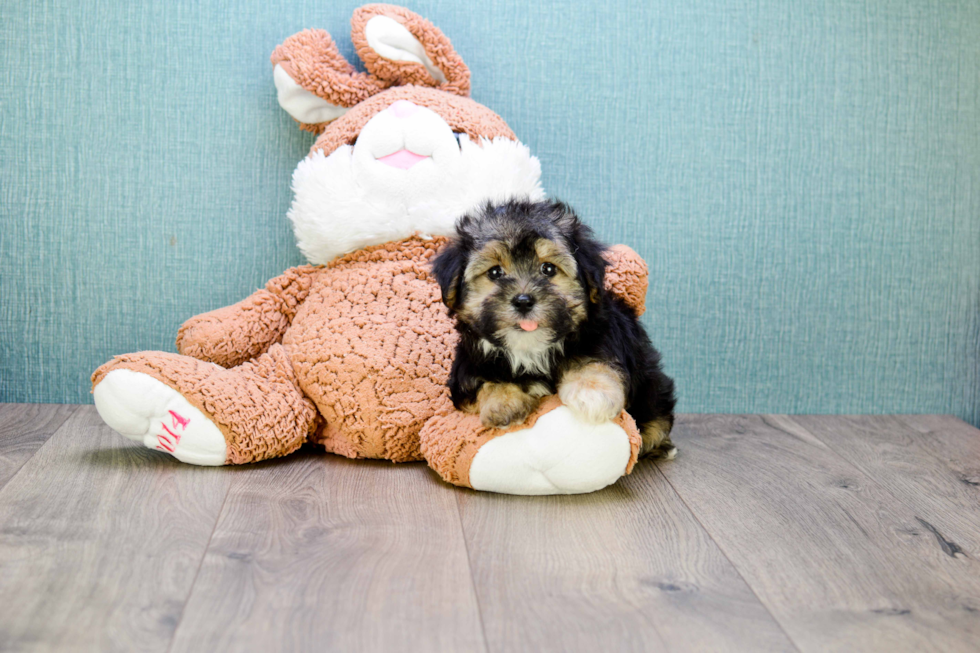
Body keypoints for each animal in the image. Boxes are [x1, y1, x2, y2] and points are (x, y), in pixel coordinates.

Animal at [432, 200, 676, 458]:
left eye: (548, 269)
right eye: (495, 272)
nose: (523, 301)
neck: (530, 351)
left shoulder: (601, 338)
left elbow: (594, 361)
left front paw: (592, 392)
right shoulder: (467, 371)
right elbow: (484, 382)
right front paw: (503, 402)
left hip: (651, 380)